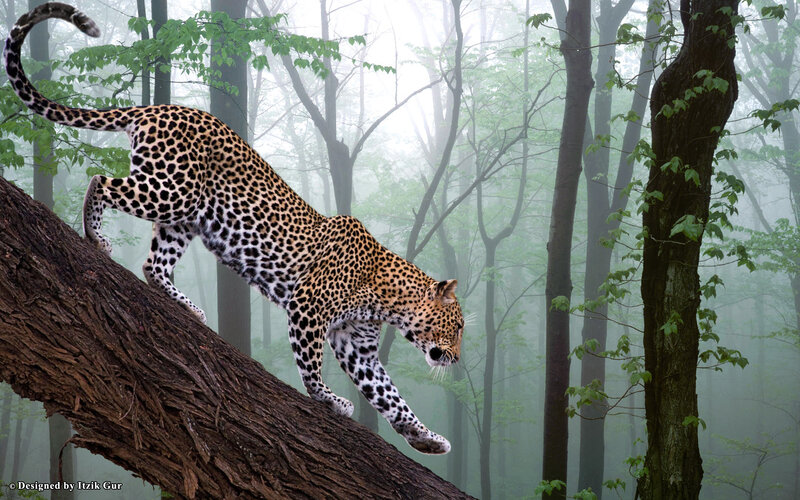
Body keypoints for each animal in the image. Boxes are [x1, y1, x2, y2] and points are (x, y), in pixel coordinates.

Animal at [5, 2, 464, 454]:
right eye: (457, 326)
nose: (457, 359)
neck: (387, 298)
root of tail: (161, 108)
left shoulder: (359, 347)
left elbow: (390, 396)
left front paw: (425, 438)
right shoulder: (308, 308)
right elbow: (311, 365)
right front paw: (328, 399)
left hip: (185, 217)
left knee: (154, 265)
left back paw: (187, 307)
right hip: (171, 190)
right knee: (101, 181)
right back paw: (96, 237)